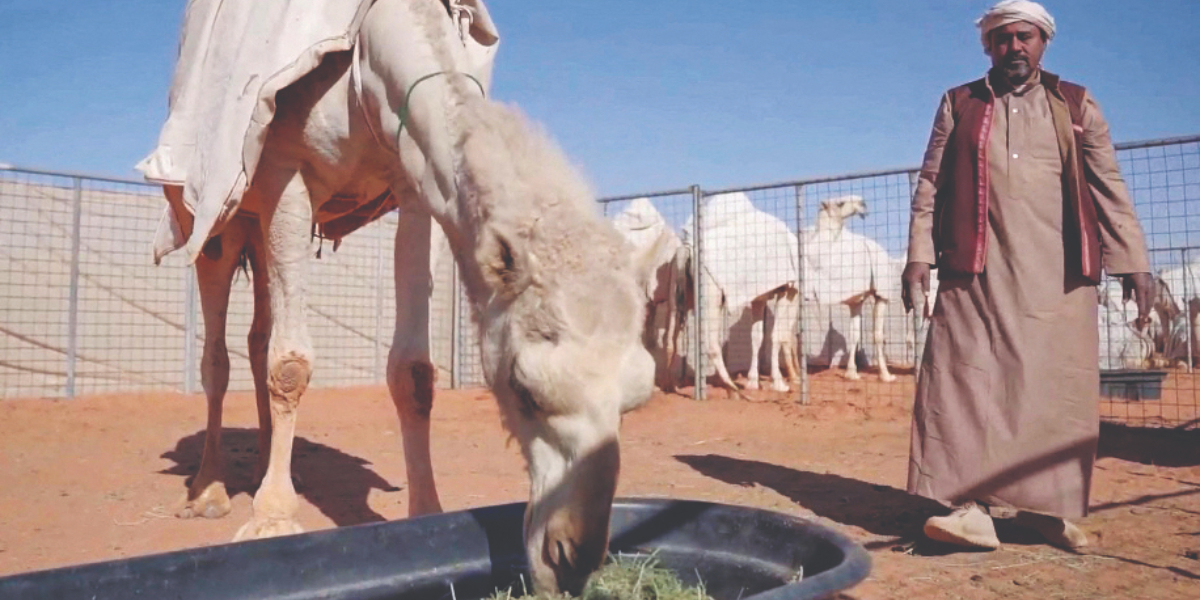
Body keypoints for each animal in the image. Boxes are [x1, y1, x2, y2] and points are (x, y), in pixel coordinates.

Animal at [140, 1, 659, 594]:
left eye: (637, 398)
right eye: (523, 389)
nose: (571, 555)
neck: (370, 54)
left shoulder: (415, 183)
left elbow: (412, 372)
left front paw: (426, 512)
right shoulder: (284, 173)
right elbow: (291, 364)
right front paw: (271, 518)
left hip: (258, 228)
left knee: (258, 335)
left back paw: (267, 462)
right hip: (219, 220)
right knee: (215, 351)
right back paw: (208, 490)